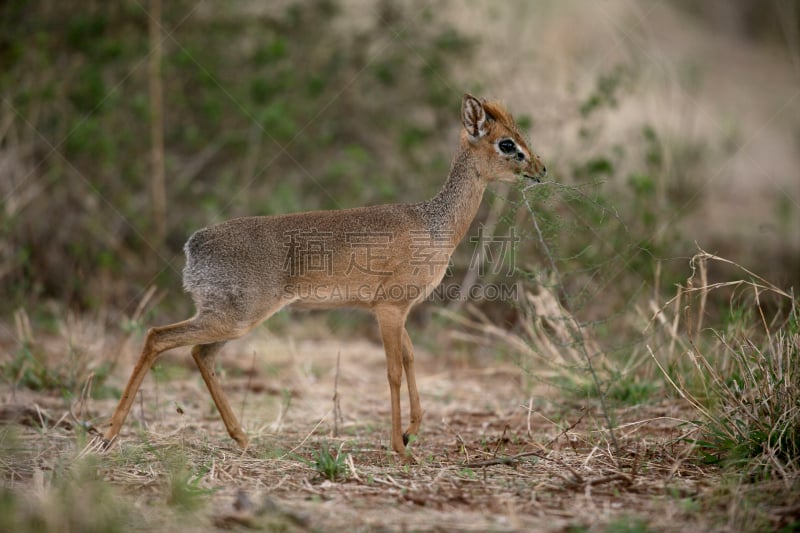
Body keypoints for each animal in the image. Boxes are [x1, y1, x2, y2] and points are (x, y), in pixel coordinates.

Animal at [103, 94, 548, 454]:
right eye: (507, 143)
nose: (541, 169)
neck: (434, 225)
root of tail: (193, 245)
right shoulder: (388, 309)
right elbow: (392, 372)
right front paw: (400, 448)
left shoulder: (399, 309)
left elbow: (410, 359)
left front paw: (410, 433)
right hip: (235, 317)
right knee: (158, 336)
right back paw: (109, 435)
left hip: (229, 320)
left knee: (198, 353)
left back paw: (243, 439)